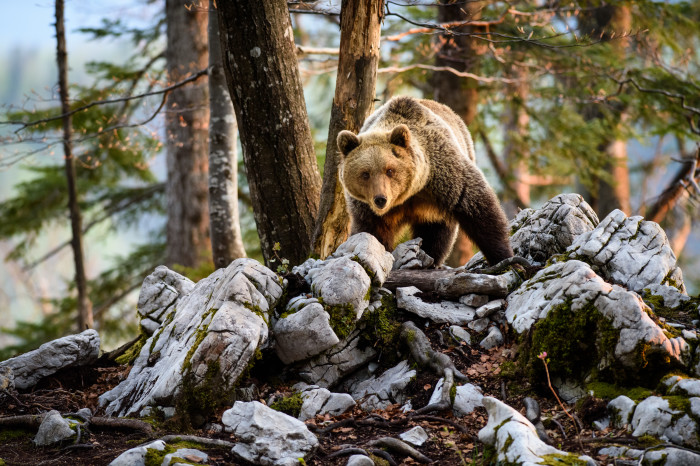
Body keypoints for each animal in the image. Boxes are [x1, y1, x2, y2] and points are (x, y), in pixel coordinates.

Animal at [336, 95, 512, 266]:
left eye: (390, 170)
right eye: (365, 173)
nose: (380, 199)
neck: (410, 193)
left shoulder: (443, 174)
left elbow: (479, 208)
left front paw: (503, 256)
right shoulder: (368, 209)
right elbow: (372, 232)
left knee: (437, 230)